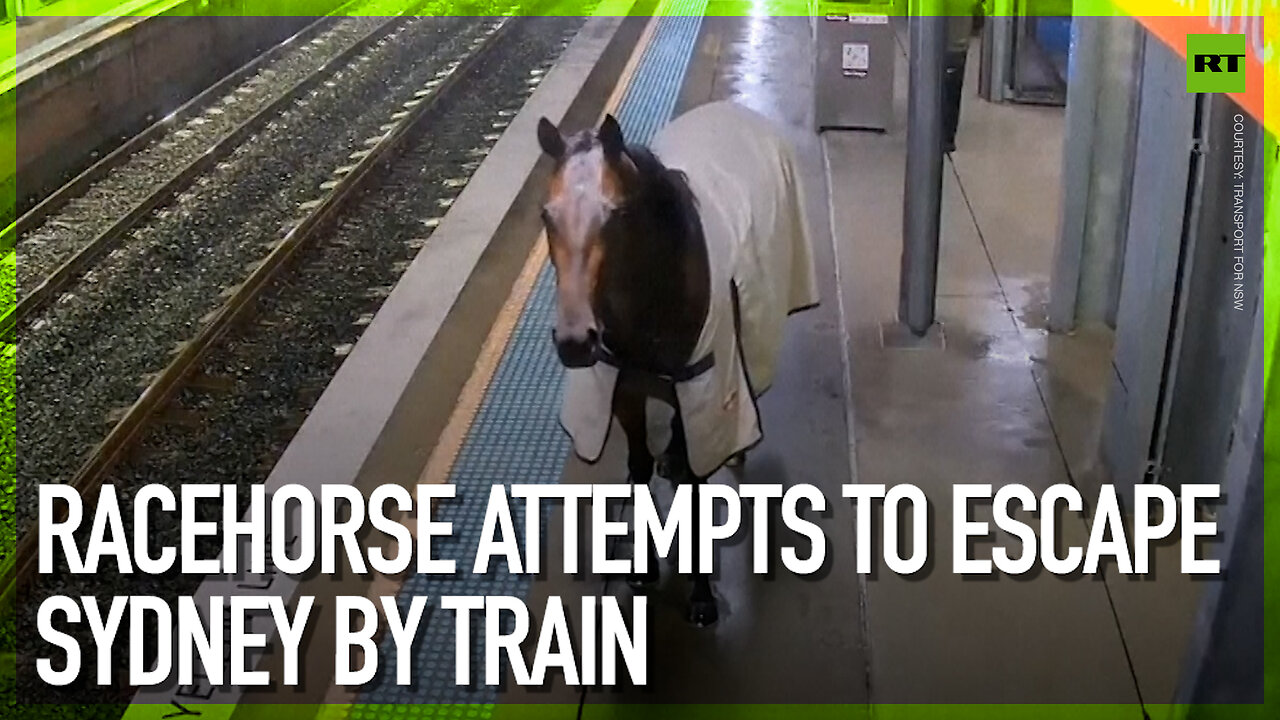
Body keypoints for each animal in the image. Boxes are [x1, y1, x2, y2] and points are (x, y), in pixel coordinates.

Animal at [537, 99, 819, 622]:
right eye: (547, 214)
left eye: (618, 214)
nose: (575, 342)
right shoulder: (625, 391)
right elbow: (639, 466)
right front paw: (643, 567)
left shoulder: (705, 389)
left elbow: (695, 480)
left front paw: (702, 592)